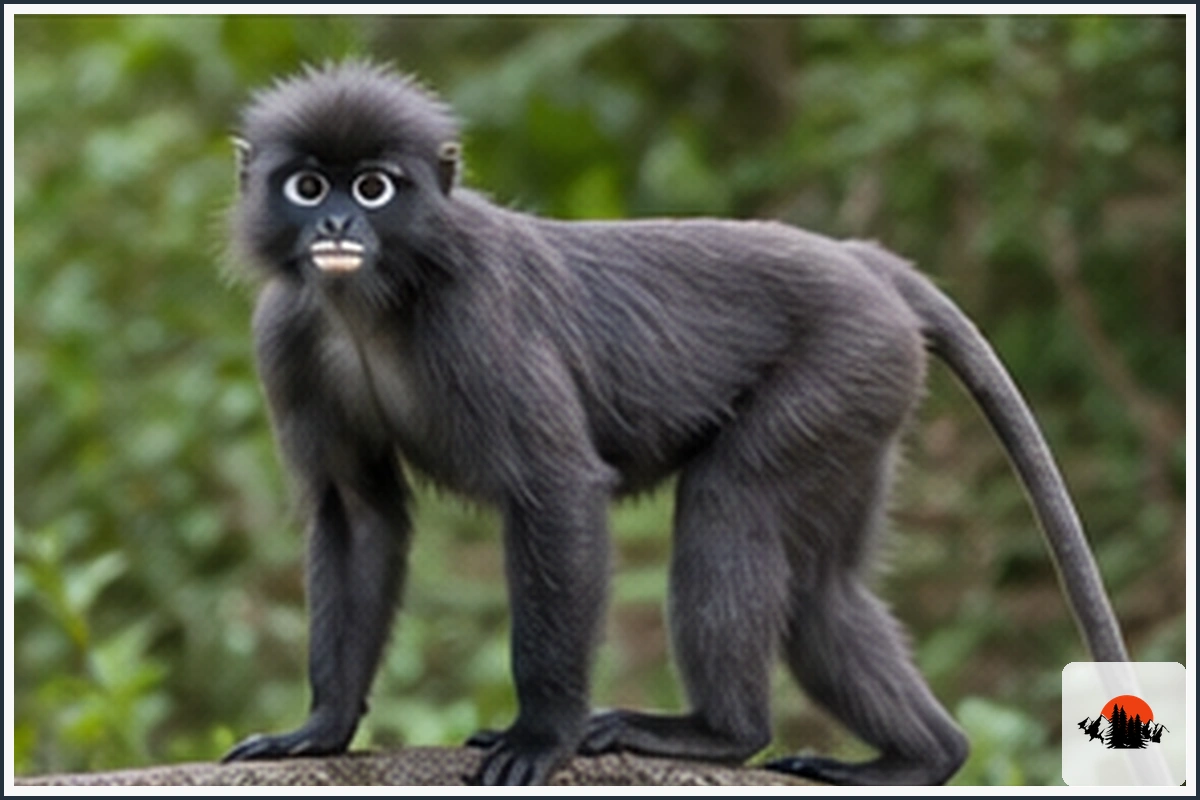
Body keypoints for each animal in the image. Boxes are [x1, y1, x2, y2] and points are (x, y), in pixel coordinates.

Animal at [220, 61, 1128, 786]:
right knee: (822, 590)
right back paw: (921, 758)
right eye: (309, 186)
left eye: (373, 186)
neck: (370, 303)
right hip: (866, 398)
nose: (338, 226)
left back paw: (720, 735)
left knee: (730, 504)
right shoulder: (288, 335)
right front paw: (319, 731)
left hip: (838, 368)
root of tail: (861, 261)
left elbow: (557, 489)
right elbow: (356, 512)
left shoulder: (476, 316)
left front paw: (540, 736)